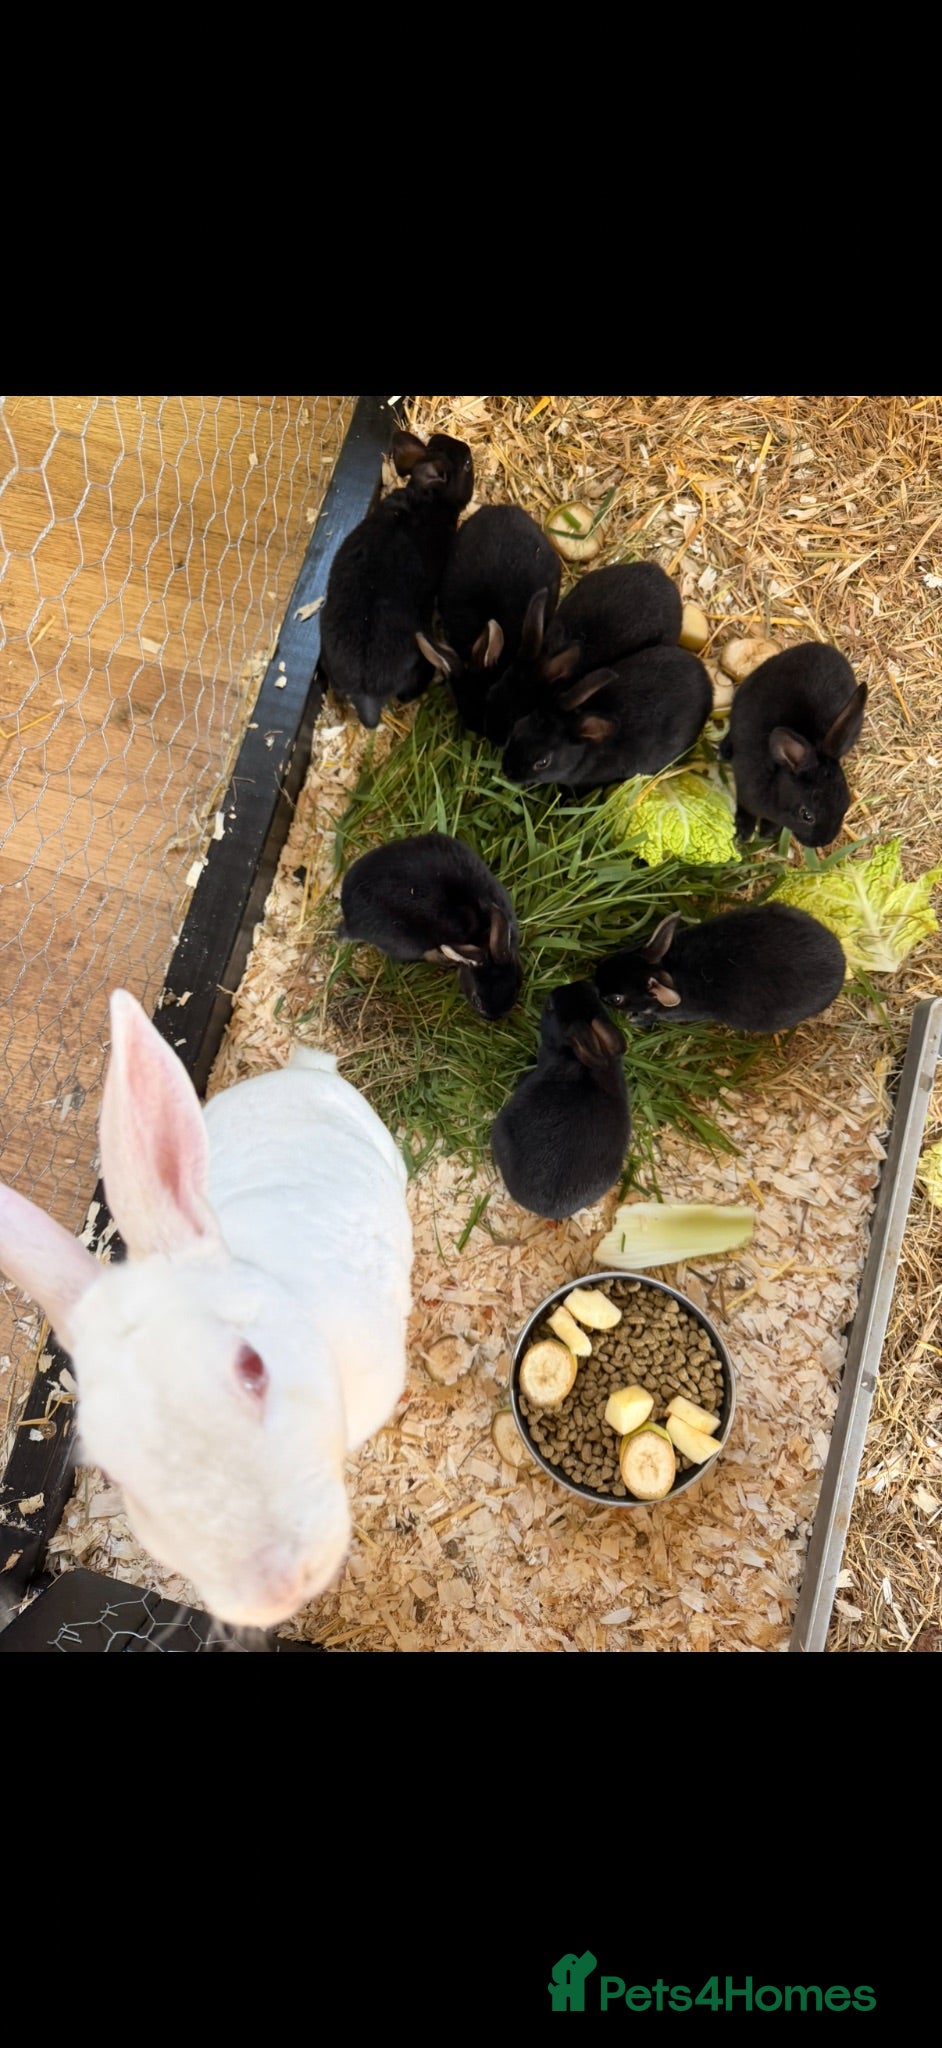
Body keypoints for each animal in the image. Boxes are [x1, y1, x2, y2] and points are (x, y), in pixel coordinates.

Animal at [338, 831, 521, 1020]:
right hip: (407, 944)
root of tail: (350, 920)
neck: (481, 935)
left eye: (516, 989)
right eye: (476, 1000)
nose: (494, 1018)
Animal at [594, 902, 847, 1032]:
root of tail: (841, 963)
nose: (594, 982)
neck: (671, 971)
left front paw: (635, 1020)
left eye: (616, 999)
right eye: (616, 957)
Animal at [718, 641, 868, 846]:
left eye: (846, 803)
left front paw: (767, 832)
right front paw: (743, 833)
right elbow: (746, 810)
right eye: (806, 815)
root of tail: (822, 646)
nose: (822, 842)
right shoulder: (745, 791)